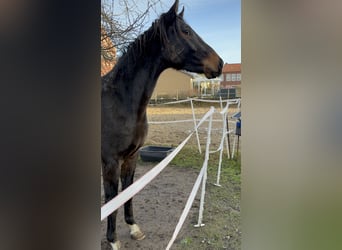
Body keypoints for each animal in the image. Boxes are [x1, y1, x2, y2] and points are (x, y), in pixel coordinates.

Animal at [101, 0, 224, 249]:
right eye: (186, 31)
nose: (220, 63)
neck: (120, 100)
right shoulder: (111, 162)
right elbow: (112, 199)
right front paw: (113, 240)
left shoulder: (131, 157)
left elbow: (128, 192)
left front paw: (134, 228)